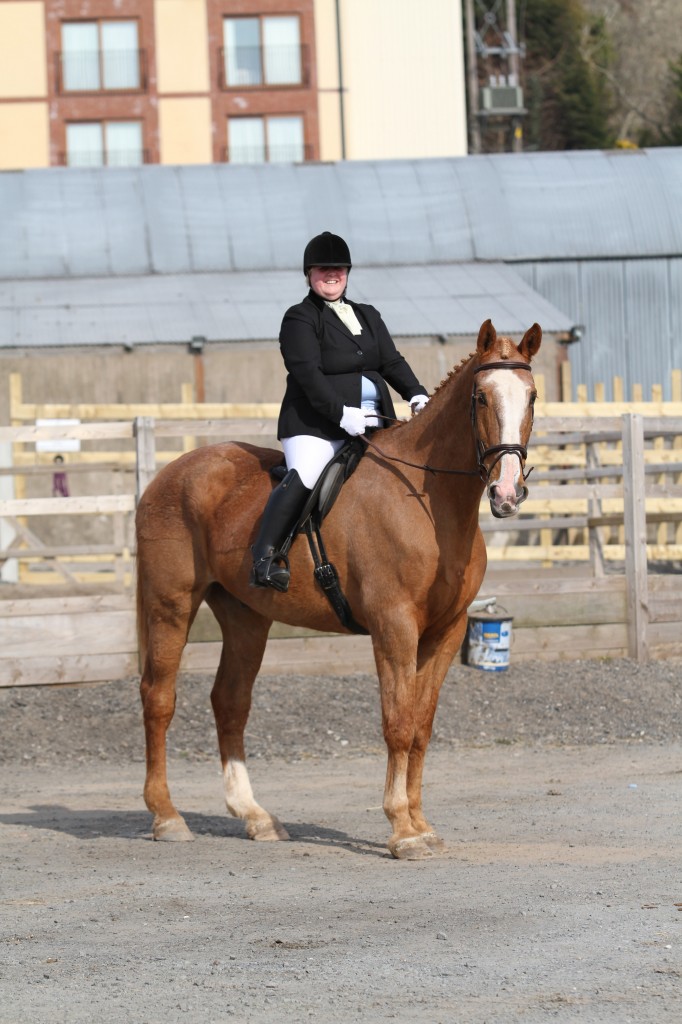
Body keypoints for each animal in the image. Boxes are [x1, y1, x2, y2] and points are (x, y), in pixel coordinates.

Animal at [137, 317, 540, 856]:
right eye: (480, 397)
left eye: (532, 397)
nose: (506, 493)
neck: (429, 501)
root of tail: (169, 474)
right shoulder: (394, 627)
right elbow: (398, 722)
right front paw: (402, 830)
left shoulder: (446, 630)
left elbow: (422, 725)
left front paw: (421, 823)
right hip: (171, 606)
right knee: (159, 698)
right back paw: (167, 817)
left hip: (245, 617)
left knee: (230, 702)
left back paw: (256, 816)